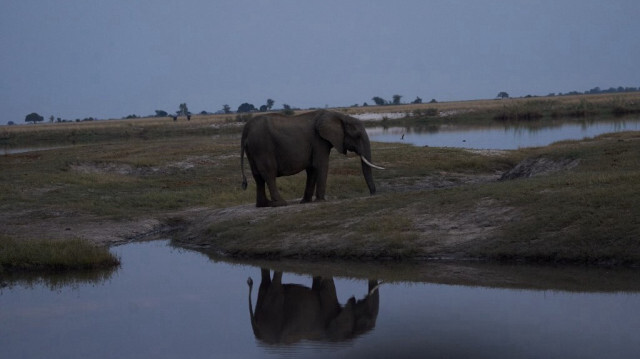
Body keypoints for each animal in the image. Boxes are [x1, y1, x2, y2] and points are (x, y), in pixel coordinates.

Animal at [239, 109, 380, 208]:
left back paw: (264, 204)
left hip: (253, 150)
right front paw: (321, 201)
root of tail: (246, 130)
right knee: (269, 174)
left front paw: (305, 202)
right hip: (262, 147)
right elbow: (321, 165)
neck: (339, 116)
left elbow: (312, 169)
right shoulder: (319, 140)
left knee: (258, 177)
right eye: (357, 135)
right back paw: (280, 203)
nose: (372, 194)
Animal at [244, 270, 376, 346]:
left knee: (264, 284)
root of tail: (257, 332)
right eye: (365, 322)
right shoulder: (328, 309)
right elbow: (327, 285)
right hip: (273, 315)